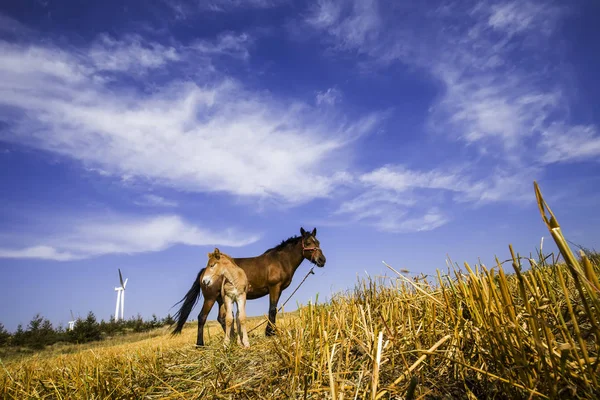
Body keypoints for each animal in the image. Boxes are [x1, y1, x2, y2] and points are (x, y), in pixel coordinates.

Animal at [171, 228, 326, 346]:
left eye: (318, 242)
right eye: (308, 242)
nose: (322, 260)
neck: (280, 260)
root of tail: (205, 271)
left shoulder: (278, 289)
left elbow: (273, 309)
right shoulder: (274, 287)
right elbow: (272, 309)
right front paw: (270, 332)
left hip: (221, 299)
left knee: (221, 318)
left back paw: (233, 338)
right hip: (210, 298)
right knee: (202, 317)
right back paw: (200, 344)